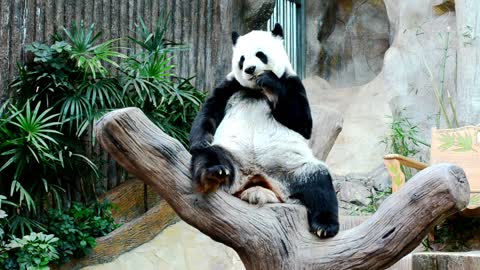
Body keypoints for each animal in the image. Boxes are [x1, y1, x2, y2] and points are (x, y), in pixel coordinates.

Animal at [188, 23, 338, 238]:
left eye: (260, 55)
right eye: (242, 59)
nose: (250, 69)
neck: (256, 91)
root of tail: (256, 179)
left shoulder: (292, 82)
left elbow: (302, 123)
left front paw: (268, 80)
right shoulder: (230, 86)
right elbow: (209, 110)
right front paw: (200, 141)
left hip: (291, 169)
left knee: (319, 183)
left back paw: (325, 226)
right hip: (232, 155)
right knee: (208, 156)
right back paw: (214, 173)